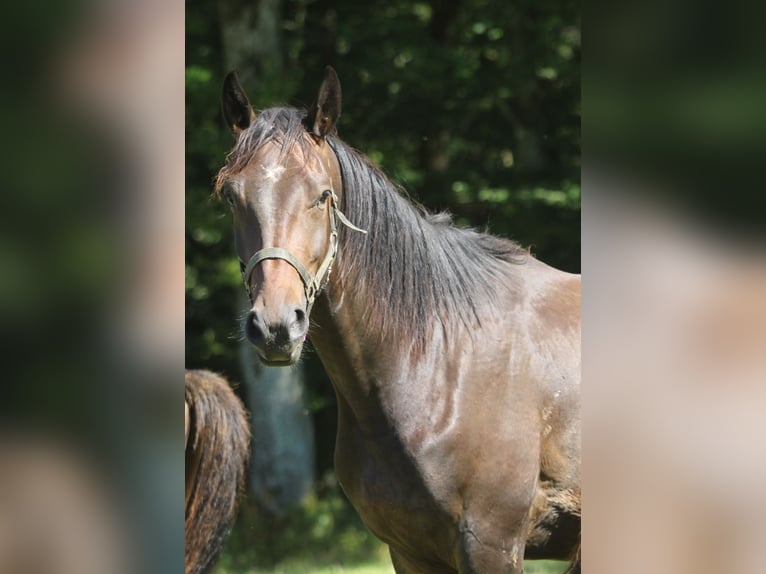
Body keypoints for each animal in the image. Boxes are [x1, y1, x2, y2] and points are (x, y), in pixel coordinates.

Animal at [216, 68, 584, 574]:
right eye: (232, 196)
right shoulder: (409, 551)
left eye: (322, 197)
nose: (275, 327)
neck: (442, 360)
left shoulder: (492, 545)